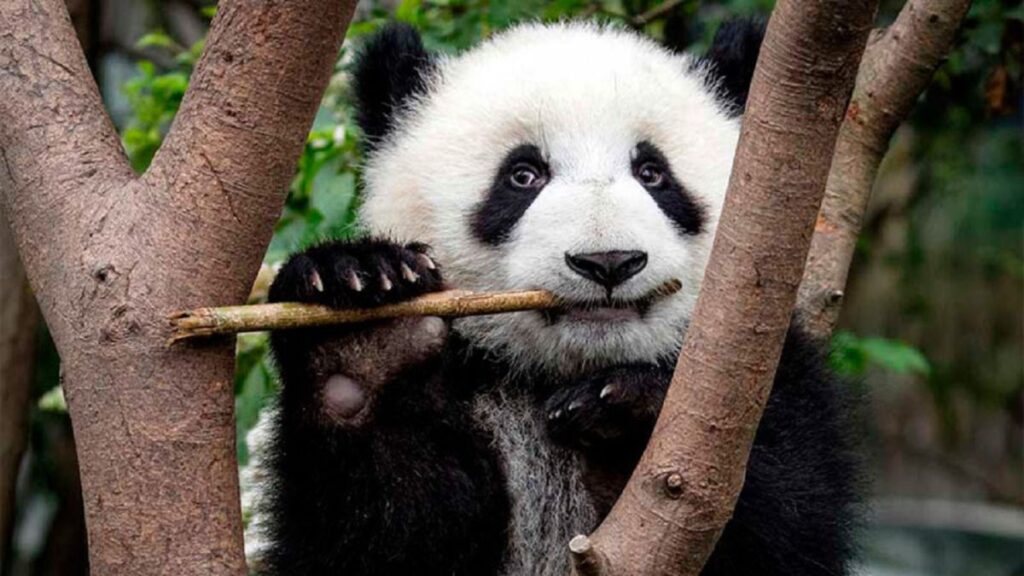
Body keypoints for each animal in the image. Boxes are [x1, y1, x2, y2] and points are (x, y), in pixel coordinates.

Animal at [254, 19, 860, 576]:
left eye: (653, 173)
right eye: (523, 175)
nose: (609, 262)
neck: (556, 373)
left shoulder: (771, 373)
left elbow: (787, 520)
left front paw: (622, 405)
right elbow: (382, 534)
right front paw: (365, 333)